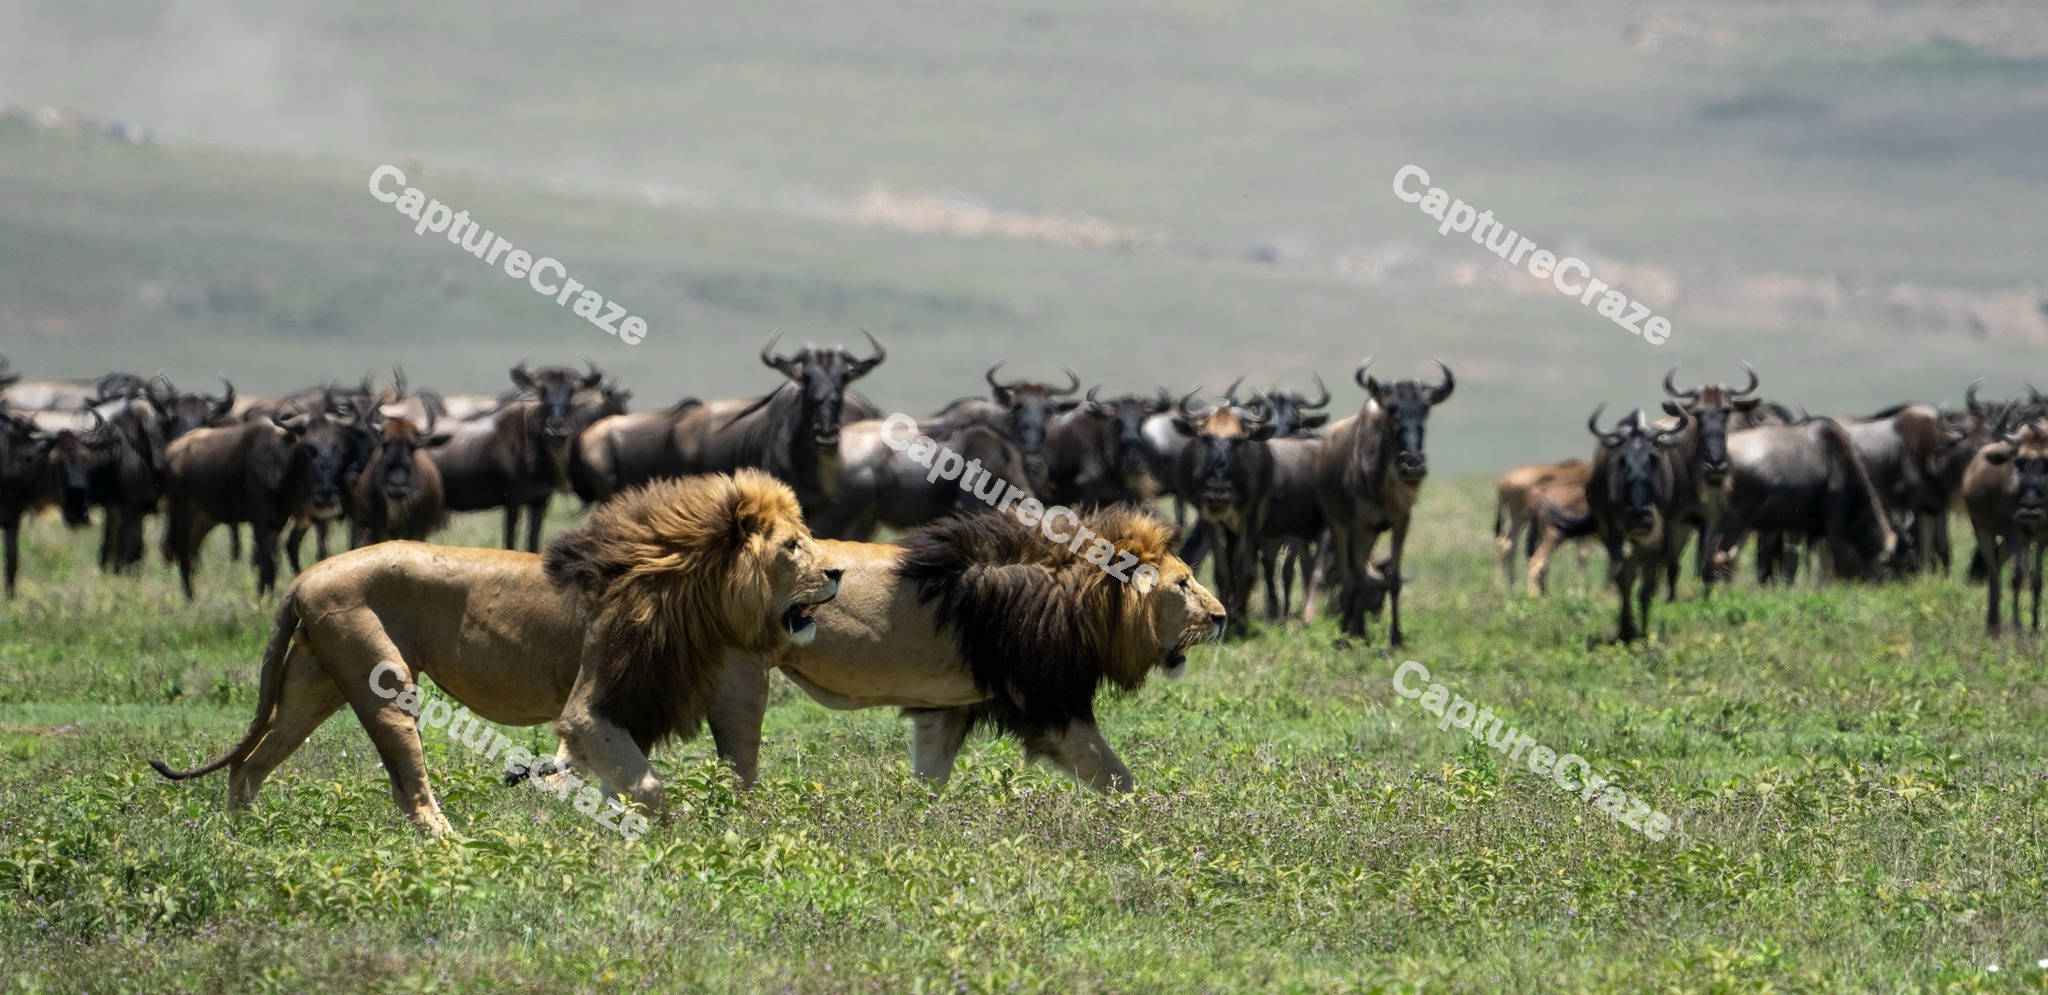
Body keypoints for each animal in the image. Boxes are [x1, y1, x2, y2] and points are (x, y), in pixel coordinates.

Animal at [148, 469, 842, 837]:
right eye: (792, 547)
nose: (837, 572)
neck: (687, 585)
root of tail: (306, 576)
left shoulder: (635, 704)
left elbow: (623, 780)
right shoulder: (590, 706)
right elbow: (646, 787)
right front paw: (659, 840)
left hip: (310, 685)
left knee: (251, 763)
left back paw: (243, 837)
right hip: (383, 682)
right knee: (408, 789)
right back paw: (451, 846)